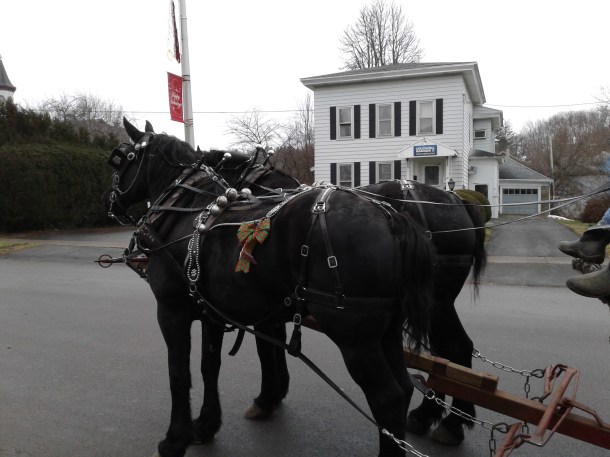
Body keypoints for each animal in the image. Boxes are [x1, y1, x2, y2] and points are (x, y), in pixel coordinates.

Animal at [103, 118, 435, 457]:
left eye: (119, 158)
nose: (110, 201)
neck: (189, 210)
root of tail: (390, 217)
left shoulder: (172, 311)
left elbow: (179, 374)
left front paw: (174, 440)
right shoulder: (211, 312)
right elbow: (210, 366)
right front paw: (206, 425)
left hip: (355, 338)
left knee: (387, 397)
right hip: (387, 329)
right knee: (404, 387)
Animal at [201, 147, 487, 445]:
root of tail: (457, 200)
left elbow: (266, 348)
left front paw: (267, 397)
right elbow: (273, 344)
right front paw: (275, 393)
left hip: (436, 304)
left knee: (453, 349)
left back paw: (449, 422)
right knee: (448, 353)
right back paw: (435, 416)